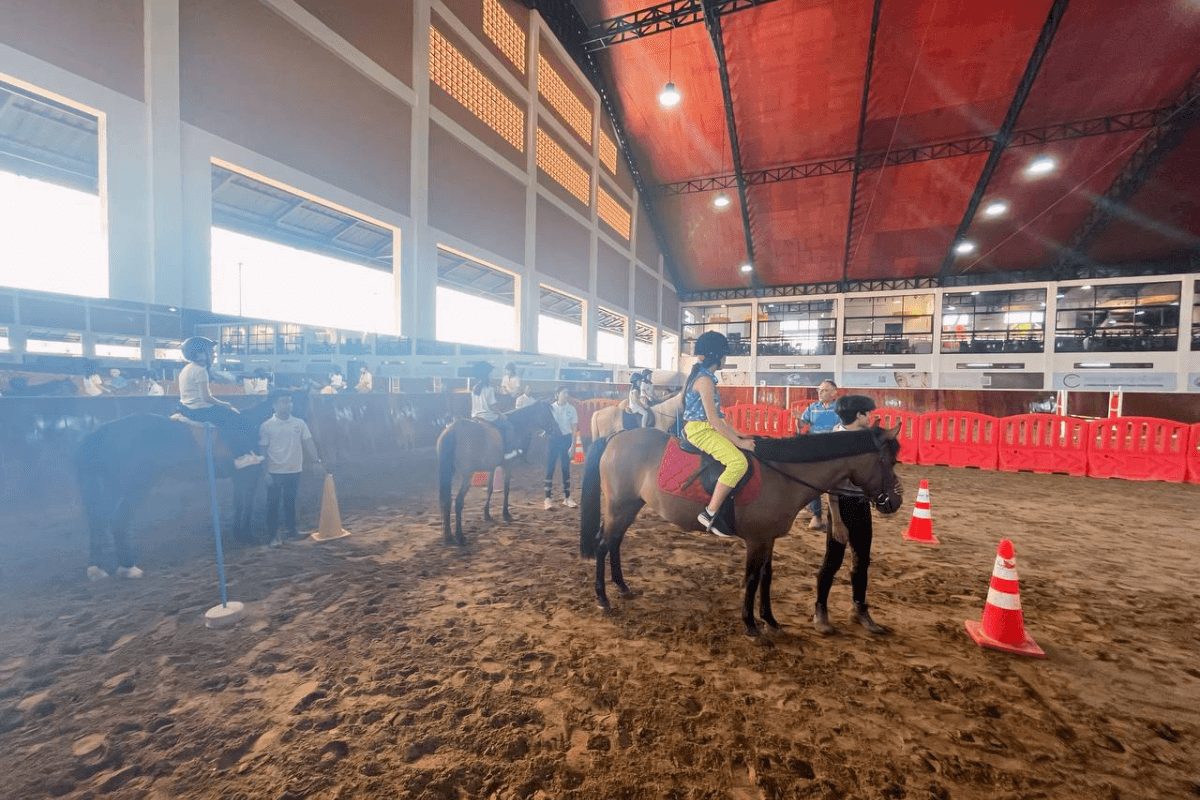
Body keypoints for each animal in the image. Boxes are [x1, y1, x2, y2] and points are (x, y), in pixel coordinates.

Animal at [436, 402, 556, 546]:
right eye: (548, 414)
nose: (555, 429)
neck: (516, 425)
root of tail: (453, 429)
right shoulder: (508, 466)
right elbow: (506, 490)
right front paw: (506, 514)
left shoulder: (492, 468)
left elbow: (490, 489)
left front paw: (487, 515)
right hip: (467, 476)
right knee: (458, 501)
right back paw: (460, 536)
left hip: (448, 474)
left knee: (446, 501)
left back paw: (448, 536)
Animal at [578, 424, 902, 638]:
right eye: (889, 461)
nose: (895, 501)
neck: (783, 475)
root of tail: (615, 436)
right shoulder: (756, 540)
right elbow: (751, 579)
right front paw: (750, 625)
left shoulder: (768, 538)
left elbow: (766, 578)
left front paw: (770, 620)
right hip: (619, 506)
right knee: (604, 544)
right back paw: (603, 599)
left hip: (630, 506)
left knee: (615, 542)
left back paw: (622, 587)